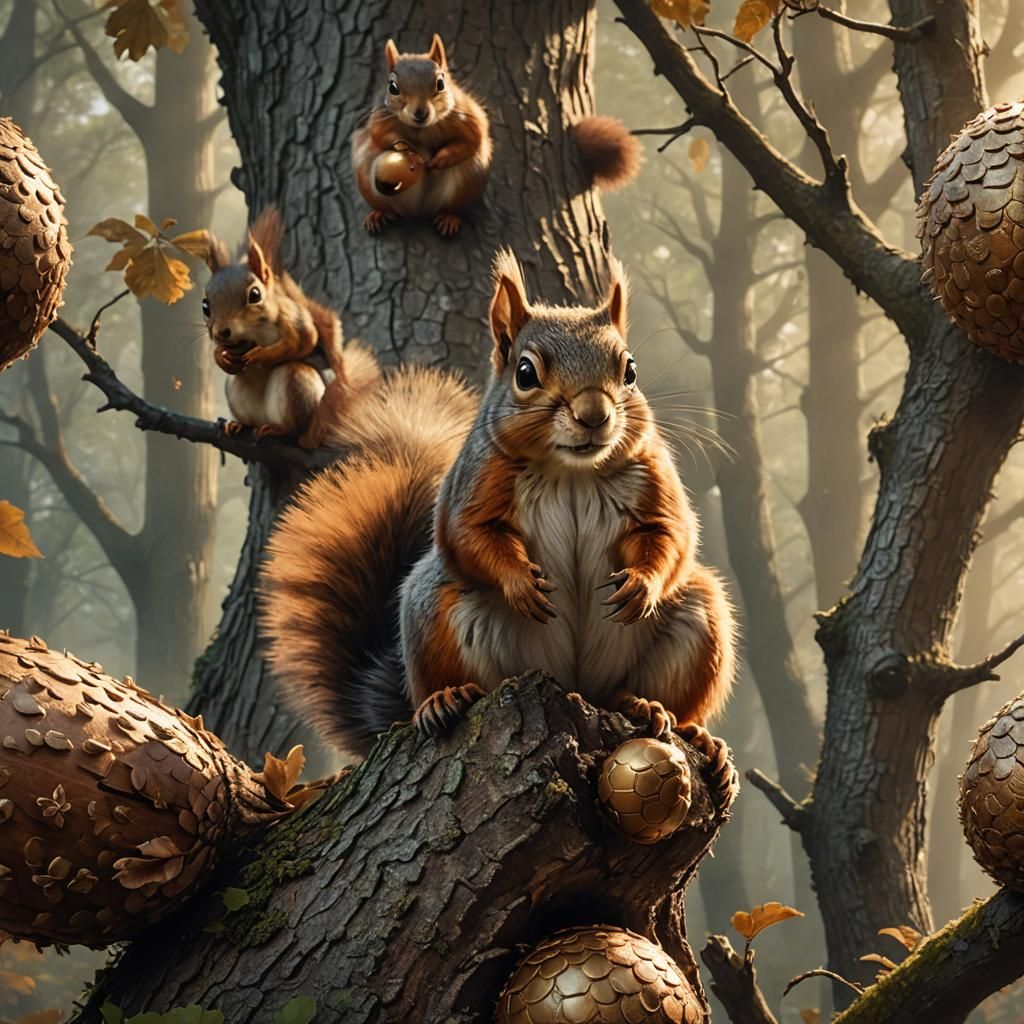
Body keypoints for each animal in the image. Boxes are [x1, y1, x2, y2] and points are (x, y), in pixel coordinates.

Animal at [202, 208, 380, 448]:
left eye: (255, 295)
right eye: (205, 306)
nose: (222, 332)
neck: (254, 332)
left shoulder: (293, 319)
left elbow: (303, 341)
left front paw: (261, 355)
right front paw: (221, 357)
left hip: (297, 385)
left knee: (294, 429)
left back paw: (279, 429)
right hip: (235, 391)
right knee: (249, 419)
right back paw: (237, 425)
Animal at [261, 250, 738, 807]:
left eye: (630, 370)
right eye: (525, 373)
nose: (594, 415)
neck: (571, 471)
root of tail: (575, 683)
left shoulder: (652, 475)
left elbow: (671, 534)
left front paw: (640, 586)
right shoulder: (475, 480)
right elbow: (468, 534)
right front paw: (520, 584)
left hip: (700, 618)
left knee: (665, 688)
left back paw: (656, 712)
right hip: (433, 611)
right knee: (450, 672)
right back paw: (443, 699)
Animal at [351, 34, 644, 237]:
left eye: (441, 83)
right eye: (393, 87)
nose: (420, 113)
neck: (422, 129)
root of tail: (418, 212)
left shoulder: (468, 116)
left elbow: (474, 138)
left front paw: (441, 159)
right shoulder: (379, 120)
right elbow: (380, 137)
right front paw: (407, 150)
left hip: (469, 178)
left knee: (454, 202)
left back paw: (449, 218)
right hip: (367, 177)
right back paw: (379, 214)